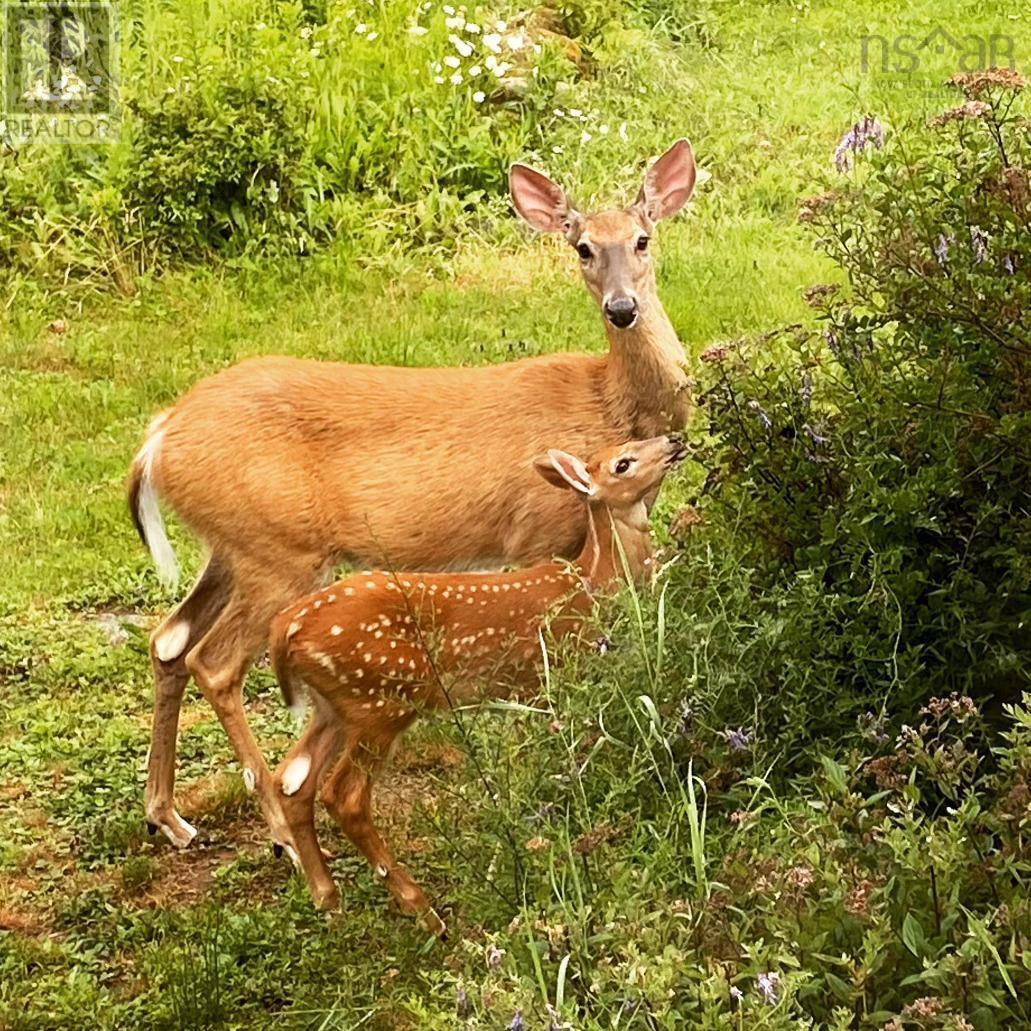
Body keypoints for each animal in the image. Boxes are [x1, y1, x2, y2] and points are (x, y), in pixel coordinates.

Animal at [126, 137, 692, 849]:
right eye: (583, 247)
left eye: (643, 238)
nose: (622, 307)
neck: (607, 400)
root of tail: (159, 437)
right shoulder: (535, 531)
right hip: (278, 552)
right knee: (216, 664)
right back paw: (277, 828)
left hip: (235, 545)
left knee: (168, 640)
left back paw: (169, 816)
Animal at [268, 435, 684, 936]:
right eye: (624, 463)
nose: (674, 441)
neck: (594, 580)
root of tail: (287, 627)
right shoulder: (562, 672)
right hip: (380, 699)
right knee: (343, 795)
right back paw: (423, 911)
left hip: (334, 705)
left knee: (291, 782)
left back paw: (328, 900)